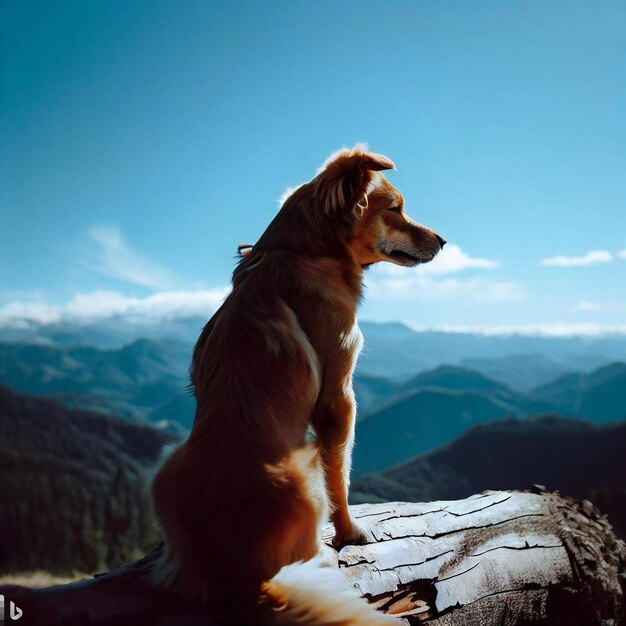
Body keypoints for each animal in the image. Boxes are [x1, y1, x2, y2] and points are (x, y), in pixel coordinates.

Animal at [151, 144, 444, 620]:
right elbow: (340, 475)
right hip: (302, 468)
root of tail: (242, 574)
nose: (443, 240)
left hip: (166, 463)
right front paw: (350, 532)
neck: (303, 251)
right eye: (396, 209)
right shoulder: (339, 398)